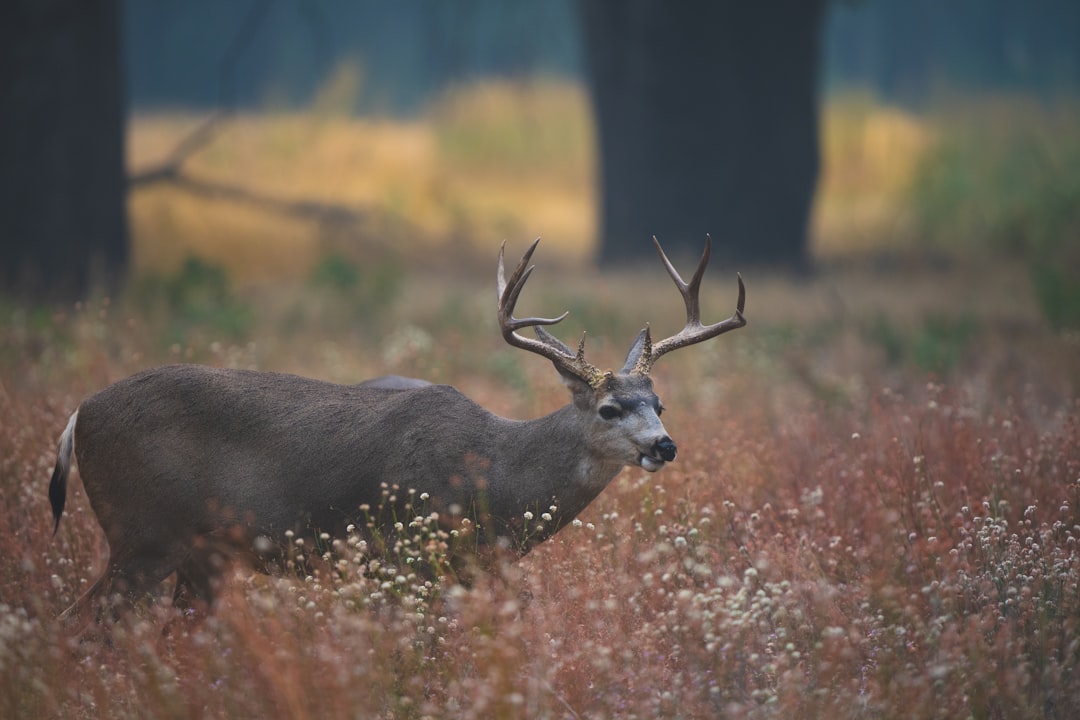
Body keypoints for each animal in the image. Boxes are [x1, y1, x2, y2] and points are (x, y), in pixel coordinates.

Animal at [48, 237, 746, 631]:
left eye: (659, 401)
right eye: (608, 408)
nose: (664, 445)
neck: (492, 472)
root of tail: (79, 414)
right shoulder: (401, 553)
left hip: (200, 555)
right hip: (142, 532)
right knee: (80, 622)